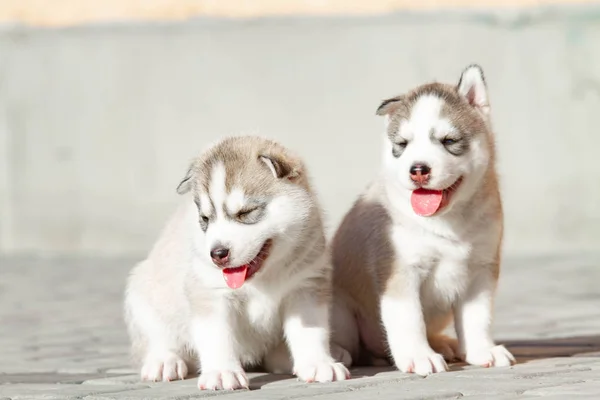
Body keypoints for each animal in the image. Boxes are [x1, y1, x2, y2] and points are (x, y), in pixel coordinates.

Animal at [328, 65, 516, 376]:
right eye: (402, 145)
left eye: (449, 141)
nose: (417, 170)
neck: (447, 221)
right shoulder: (401, 270)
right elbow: (409, 318)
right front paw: (419, 356)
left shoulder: (481, 269)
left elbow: (478, 316)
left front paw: (482, 351)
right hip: (339, 312)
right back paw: (334, 352)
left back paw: (442, 343)